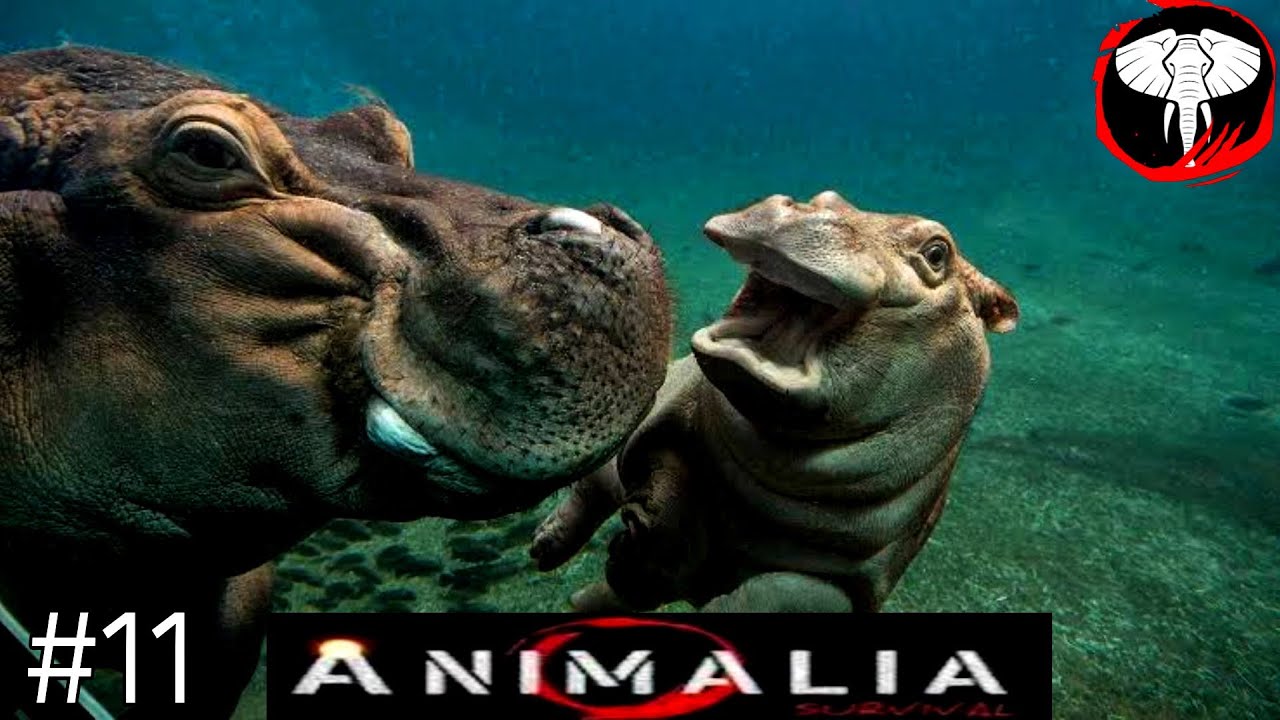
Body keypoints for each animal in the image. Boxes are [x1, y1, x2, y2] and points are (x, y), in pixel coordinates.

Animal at [532, 190, 1018, 613]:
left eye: (937, 254)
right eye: (826, 196)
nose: (801, 209)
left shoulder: (842, 583)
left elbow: (775, 595)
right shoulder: (671, 414)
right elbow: (662, 478)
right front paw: (642, 532)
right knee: (596, 485)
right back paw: (545, 548)